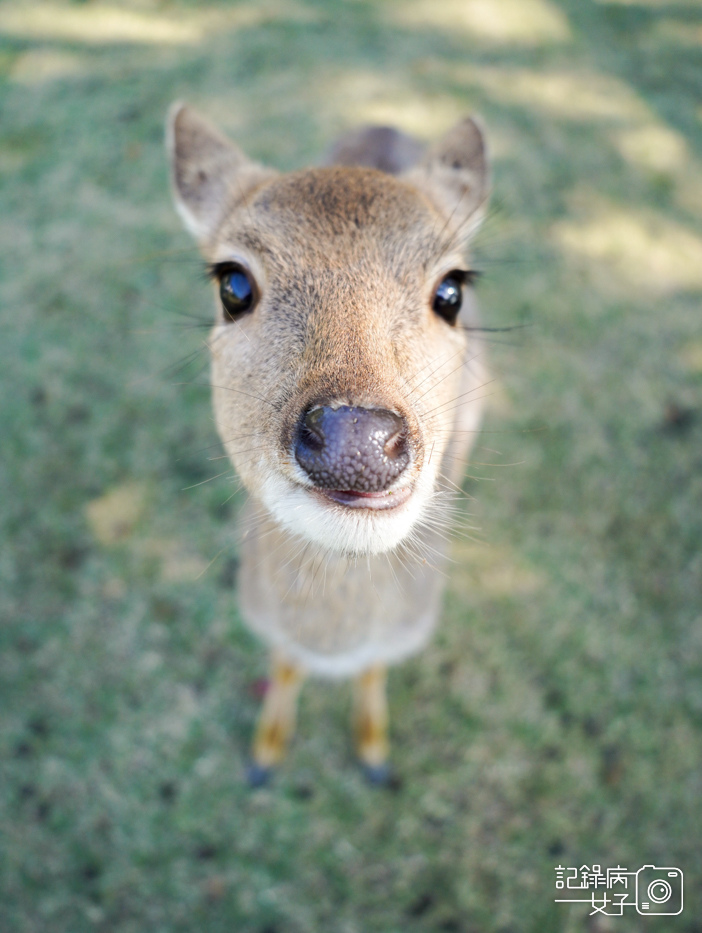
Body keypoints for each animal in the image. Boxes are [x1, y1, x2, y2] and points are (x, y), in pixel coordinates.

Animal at [168, 102, 492, 784]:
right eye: (232, 284)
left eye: (451, 289)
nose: (356, 440)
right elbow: (283, 666)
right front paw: (266, 753)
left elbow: (374, 671)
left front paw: (373, 752)